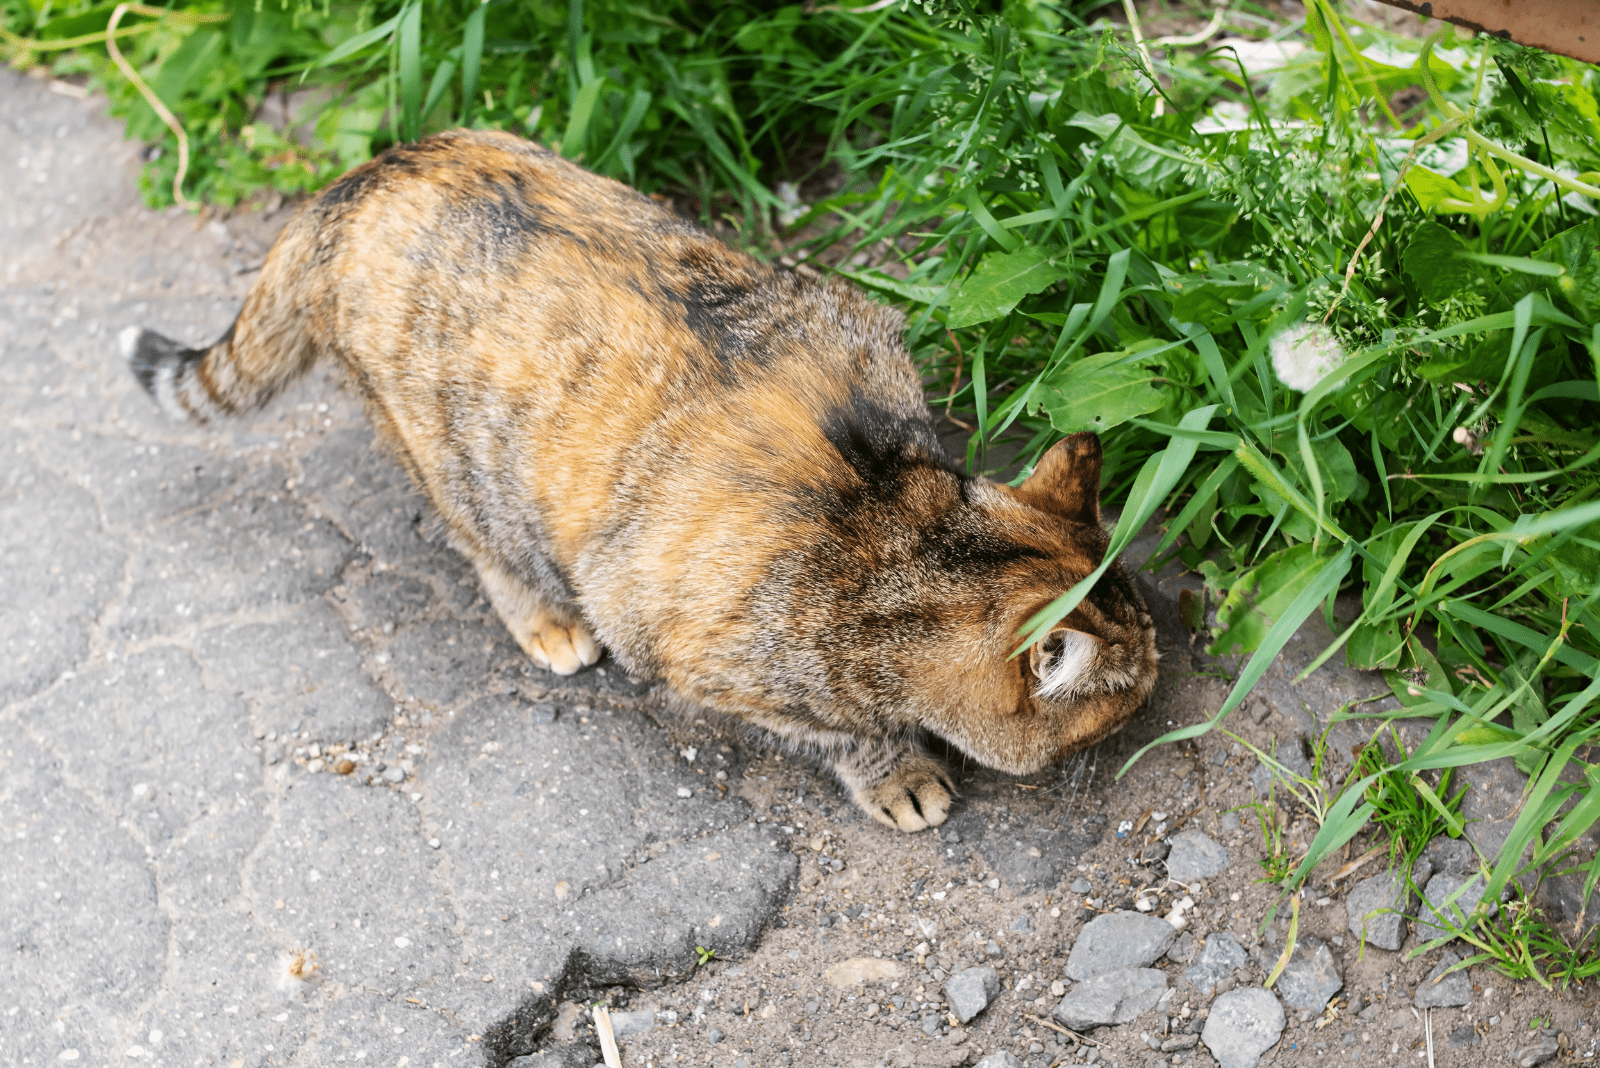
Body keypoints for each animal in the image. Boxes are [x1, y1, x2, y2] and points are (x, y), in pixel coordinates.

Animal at [118, 129, 1158, 831]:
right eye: (1133, 690)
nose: (1161, 688)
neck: (895, 518)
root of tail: (362, 176)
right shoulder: (698, 657)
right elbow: (838, 732)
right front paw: (896, 770)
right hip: (460, 466)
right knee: (481, 545)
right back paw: (543, 618)